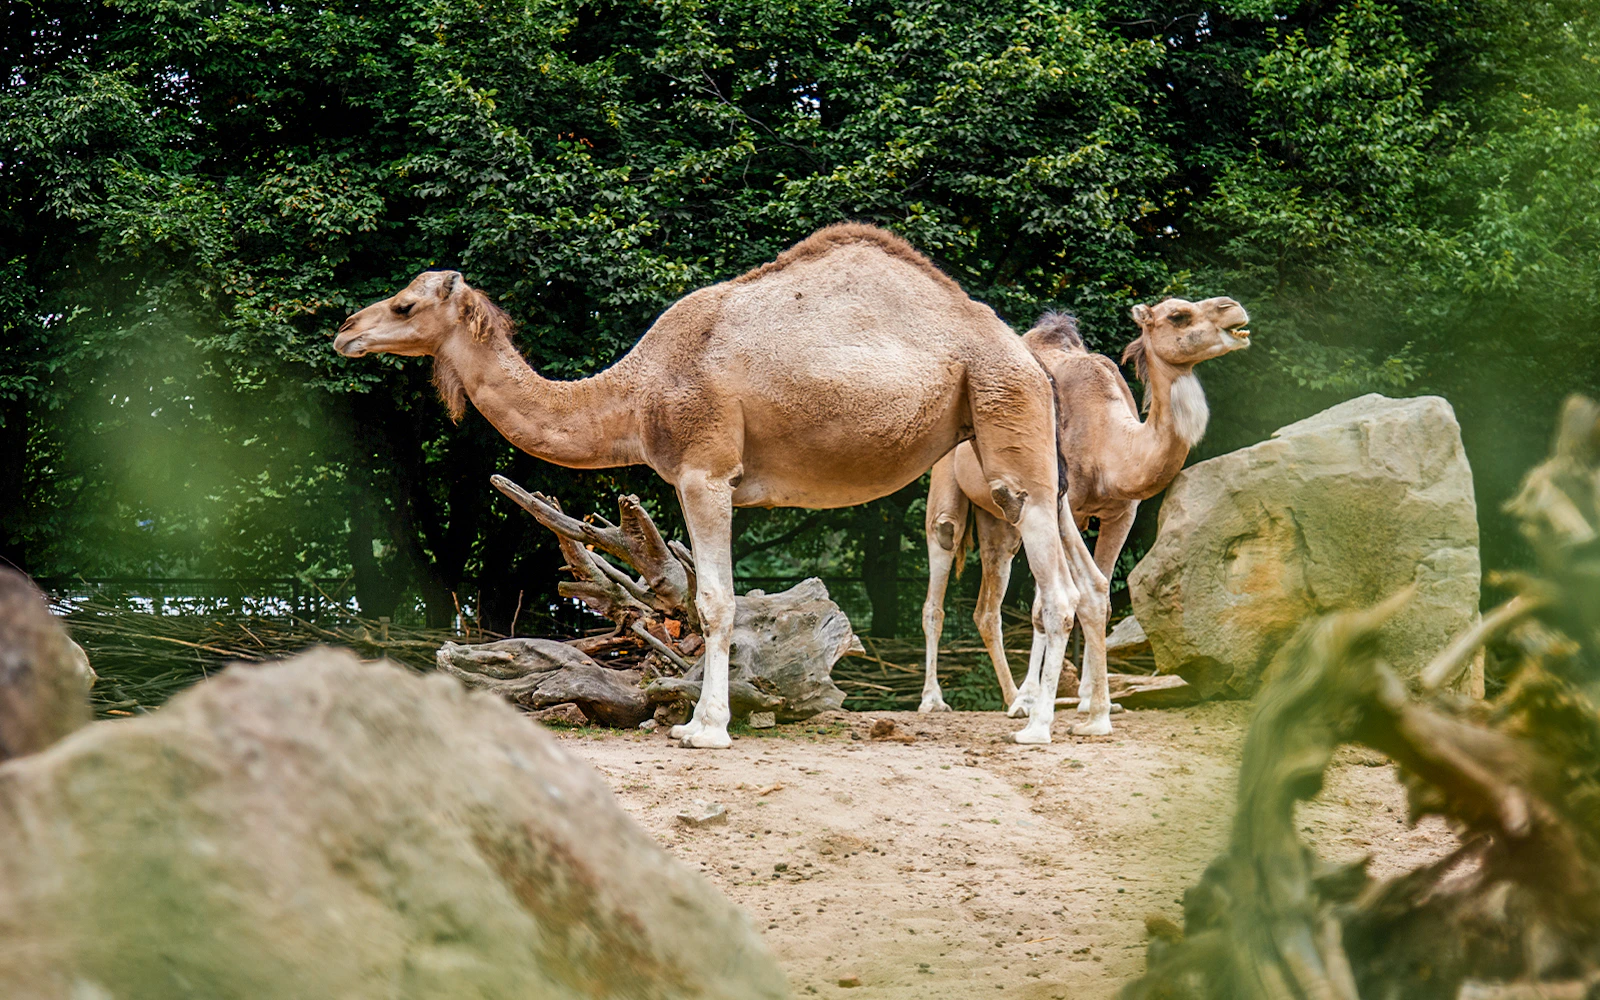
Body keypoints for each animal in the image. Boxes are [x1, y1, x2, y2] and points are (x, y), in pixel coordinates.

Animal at [334, 224, 1095, 747]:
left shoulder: (704, 472)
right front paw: (701, 719)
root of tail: (1030, 359)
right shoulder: (703, 482)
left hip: (1007, 421)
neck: (636, 391)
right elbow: (714, 601)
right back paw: (1085, 715)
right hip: (1022, 456)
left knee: (1055, 593)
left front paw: (706, 728)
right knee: (1079, 582)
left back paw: (1035, 725)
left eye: (403, 307)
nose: (345, 330)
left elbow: (714, 603)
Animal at [918, 297, 1251, 721]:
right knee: (939, 574)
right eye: (1177, 315)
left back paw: (1011, 698)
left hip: (1000, 518)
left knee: (987, 607)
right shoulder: (1068, 505)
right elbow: (1042, 607)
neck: (1109, 440)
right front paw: (1042, 698)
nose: (1233, 308)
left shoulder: (1122, 513)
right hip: (946, 486)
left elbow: (1103, 600)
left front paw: (1092, 698)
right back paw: (935, 700)